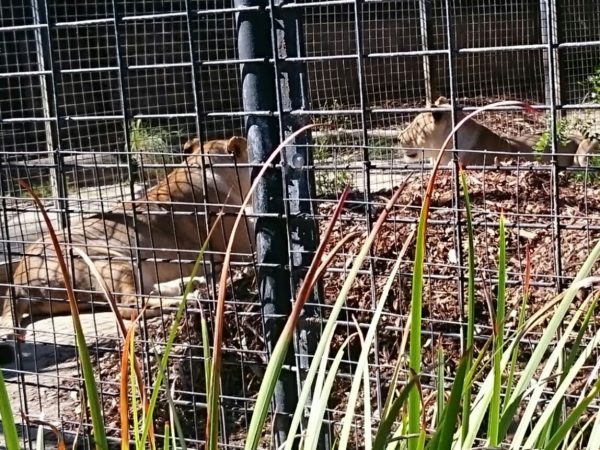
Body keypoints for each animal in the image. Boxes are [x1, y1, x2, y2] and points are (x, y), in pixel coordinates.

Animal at [0, 137, 253, 338]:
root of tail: (17, 281)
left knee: (144, 292)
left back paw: (189, 284)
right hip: (107, 259)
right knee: (131, 305)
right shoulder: (239, 245)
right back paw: (188, 298)